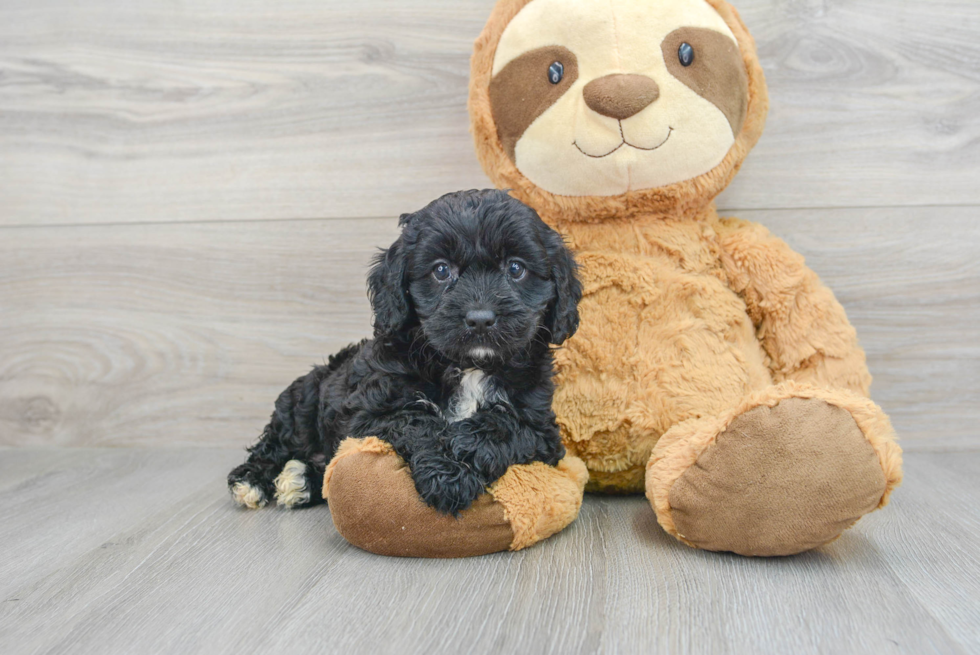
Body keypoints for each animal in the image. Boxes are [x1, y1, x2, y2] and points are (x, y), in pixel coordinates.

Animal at [230, 190, 580, 516]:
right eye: (441, 270)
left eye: (516, 268)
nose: (480, 318)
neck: (469, 366)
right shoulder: (369, 414)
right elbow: (416, 422)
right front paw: (448, 476)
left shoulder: (543, 431)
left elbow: (507, 425)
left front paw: (464, 448)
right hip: (302, 403)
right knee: (277, 442)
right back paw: (253, 480)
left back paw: (301, 480)